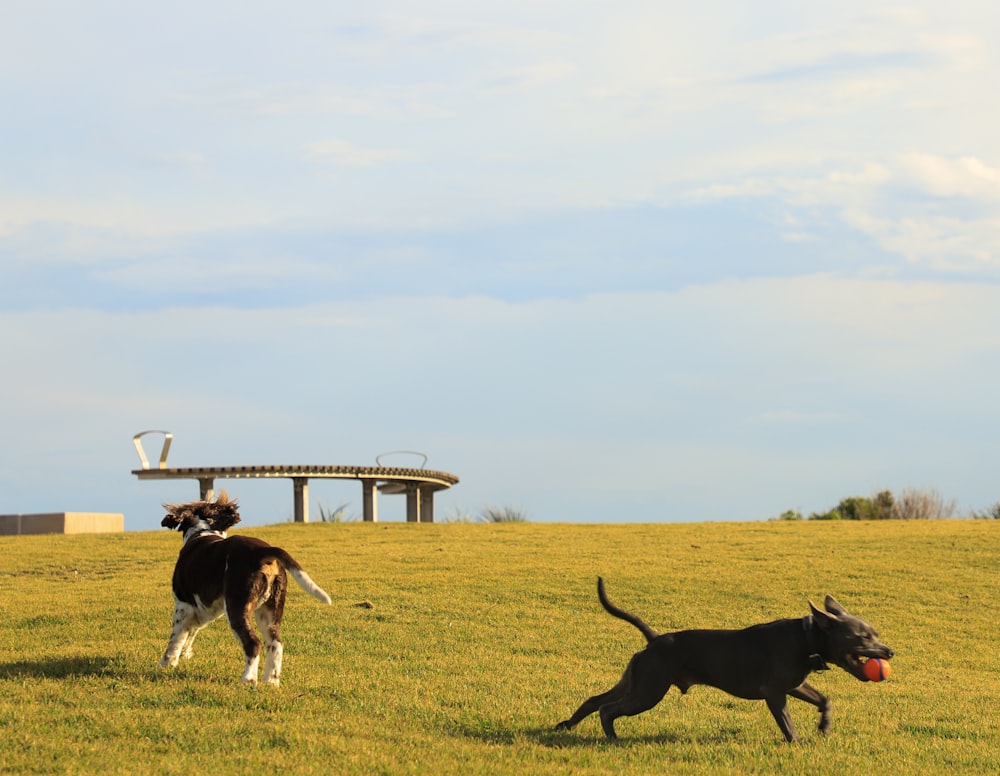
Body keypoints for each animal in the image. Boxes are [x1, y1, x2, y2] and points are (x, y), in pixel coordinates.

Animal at [560, 580, 896, 744]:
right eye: (861, 637)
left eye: (876, 634)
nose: (890, 652)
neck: (808, 636)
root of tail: (655, 639)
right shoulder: (774, 692)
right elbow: (786, 721)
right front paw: (797, 743)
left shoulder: (794, 685)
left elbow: (824, 700)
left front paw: (824, 727)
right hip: (648, 691)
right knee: (607, 709)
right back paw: (612, 739)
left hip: (635, 680)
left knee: (595, 700)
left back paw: (567, 725)